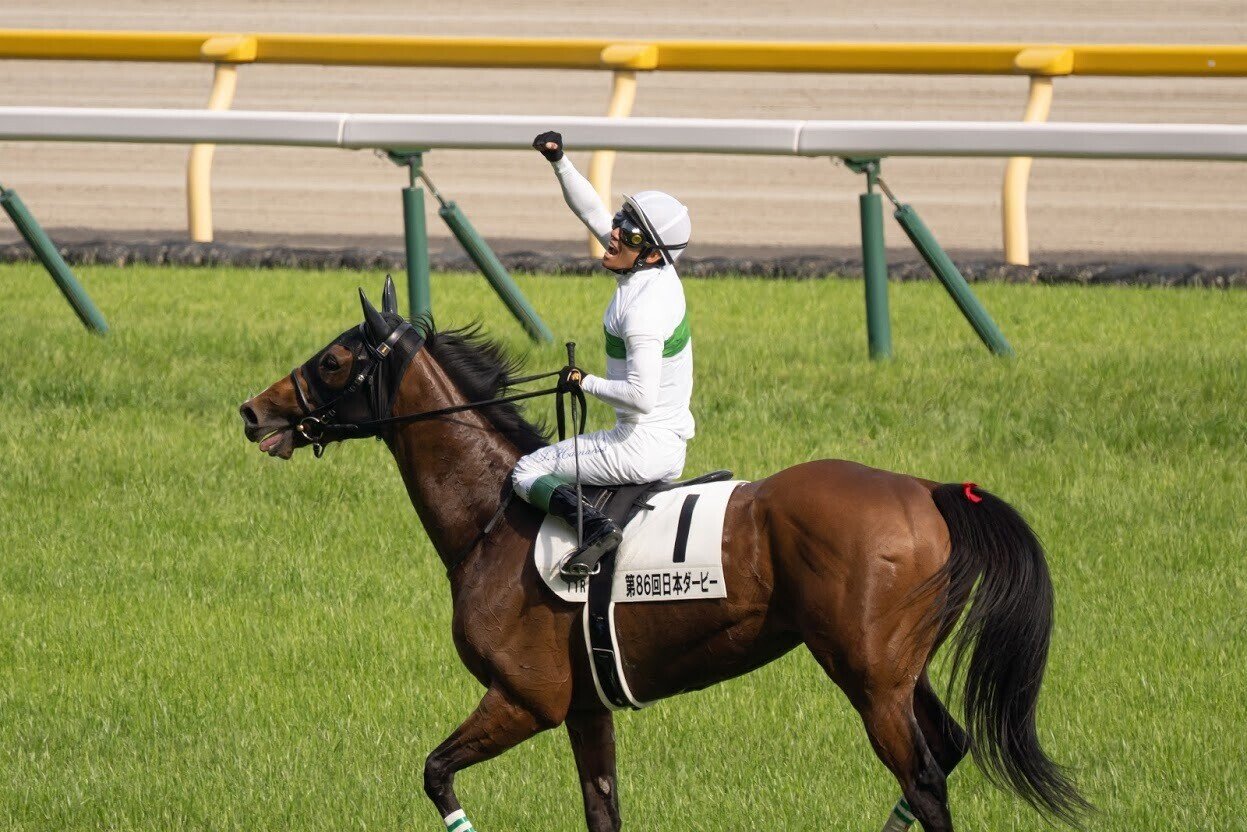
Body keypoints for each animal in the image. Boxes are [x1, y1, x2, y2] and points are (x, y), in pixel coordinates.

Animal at [238, 278, 1088, 832]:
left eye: (333, 361)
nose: (253, 412)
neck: (493, 519)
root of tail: (926, 488)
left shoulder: (525, 699)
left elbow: (436, 773)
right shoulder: (584, 709)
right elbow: (601, 809)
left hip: (869, 678)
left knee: (924, 778)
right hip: (898, 672)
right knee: (943, 757)